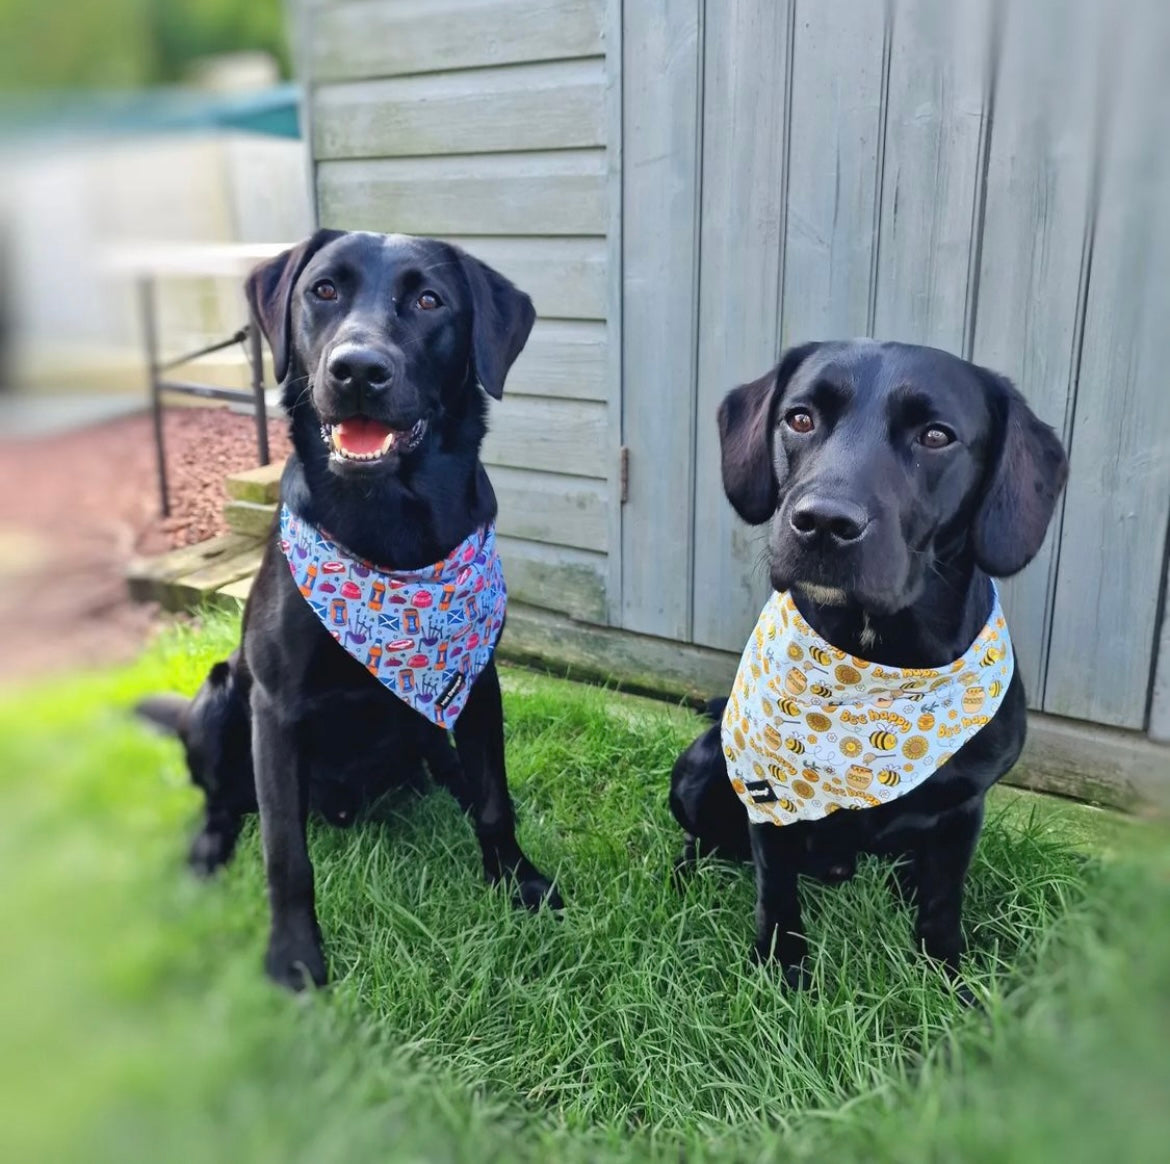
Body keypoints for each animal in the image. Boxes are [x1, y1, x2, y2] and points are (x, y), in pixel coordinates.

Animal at [134, 231, 563, 987]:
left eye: (430, 300)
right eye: (323, 290)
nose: (358, 369)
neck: (386, 522)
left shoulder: (478, 681)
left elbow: (493, 799)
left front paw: (518, 880)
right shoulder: (272, 708)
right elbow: (284, 852)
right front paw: (293, 956)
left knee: (449, 767)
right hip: (219, 693)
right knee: (222, 803)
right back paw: (205, 855)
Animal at [669, 339, 1071, 992]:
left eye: (936, 435)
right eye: (800, 418)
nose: (823, 523)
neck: (877, 658)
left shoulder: (965, 808)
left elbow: (943, 900)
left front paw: (949, 980)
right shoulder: (769, 798)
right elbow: (775, 892)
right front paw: (783, 970)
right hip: (704, 765)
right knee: (707, 841)